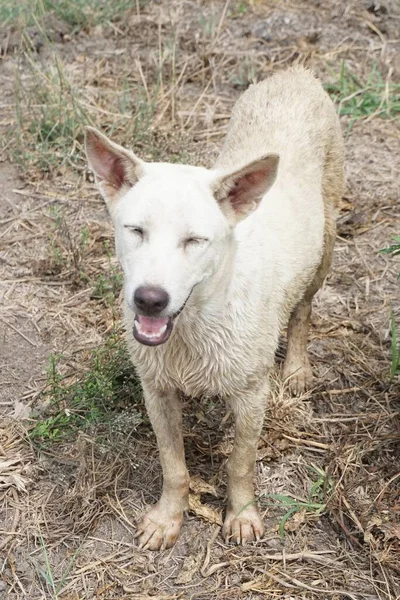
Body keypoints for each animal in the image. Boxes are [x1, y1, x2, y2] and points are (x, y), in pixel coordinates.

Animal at [84, 65, 344, 548]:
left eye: (195, 240)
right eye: (135, 230)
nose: (149, 298)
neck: (197, 324)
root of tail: (295, 72)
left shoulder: (252, 395)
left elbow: (240, 463)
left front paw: (241, 515)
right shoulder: (157, 390)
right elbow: (173, 466)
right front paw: (168, 518)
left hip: (325, 247)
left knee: (303, 309)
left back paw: (298, 367)